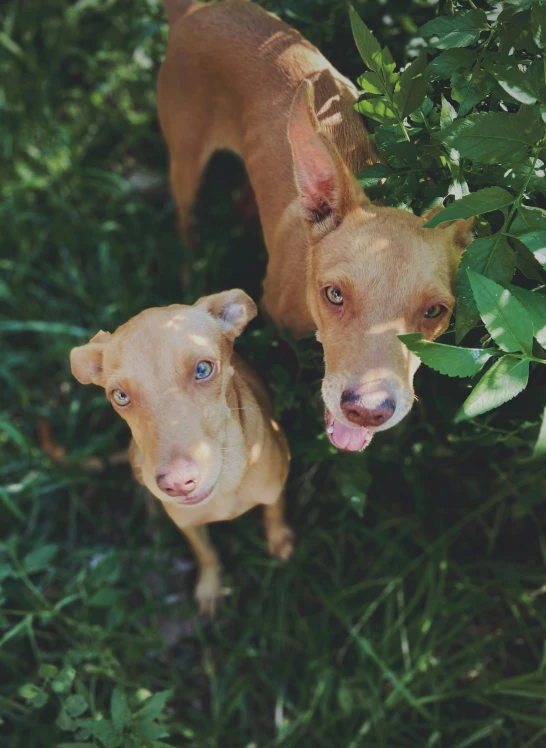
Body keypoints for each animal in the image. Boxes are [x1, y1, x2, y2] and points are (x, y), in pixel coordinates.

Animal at [70, 290, 296, 612]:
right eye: (120, 396)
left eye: (203, 369)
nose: (178, 483)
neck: (225, 487)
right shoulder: (188, 525)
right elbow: (205, 553)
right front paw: (210, 587)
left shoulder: (274, 490)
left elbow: (274, 514)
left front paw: (279, 540)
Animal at [157, 0, 472, 450]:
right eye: (334, 294)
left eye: (434, 312)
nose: (367, 411)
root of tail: (197, 9)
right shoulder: (274, 317)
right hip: (185, 159)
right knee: (187, 224)